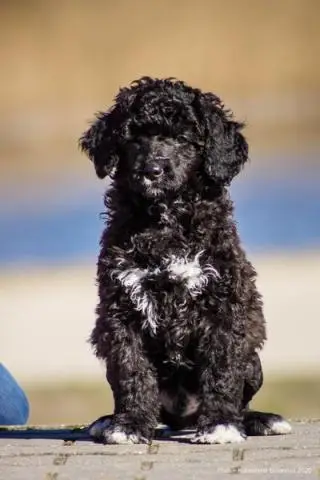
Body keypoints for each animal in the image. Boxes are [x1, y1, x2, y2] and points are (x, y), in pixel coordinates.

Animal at [79, 77, 290, 444]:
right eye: (134, 139)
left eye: (183, 139)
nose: (153, 170)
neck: (166, 217)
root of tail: (183, 417)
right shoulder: (120, 306)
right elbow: (132, 369)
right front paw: (130, 424)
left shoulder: (225, 302)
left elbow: (222, 369)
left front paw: (220, 424)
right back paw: (109, 419)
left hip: (253, 361)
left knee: (243, 398)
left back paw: (257, 420)